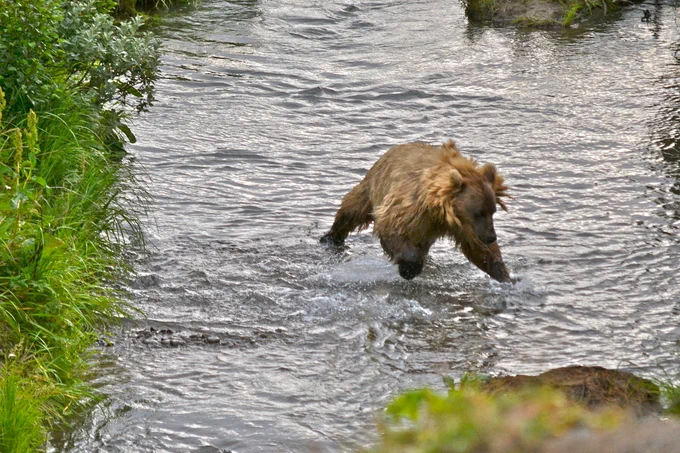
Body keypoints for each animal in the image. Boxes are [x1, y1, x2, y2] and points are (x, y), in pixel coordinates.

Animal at [320, 140, 511, 282]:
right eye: (479, 212)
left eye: (493, 211)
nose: (491, 237)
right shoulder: (411, 207)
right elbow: (392, 227)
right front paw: (410, 268)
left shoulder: (464, 227)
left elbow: (479, 250)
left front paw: (504, 275)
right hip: (372, 186)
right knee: (352, 209)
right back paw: (331, 236)